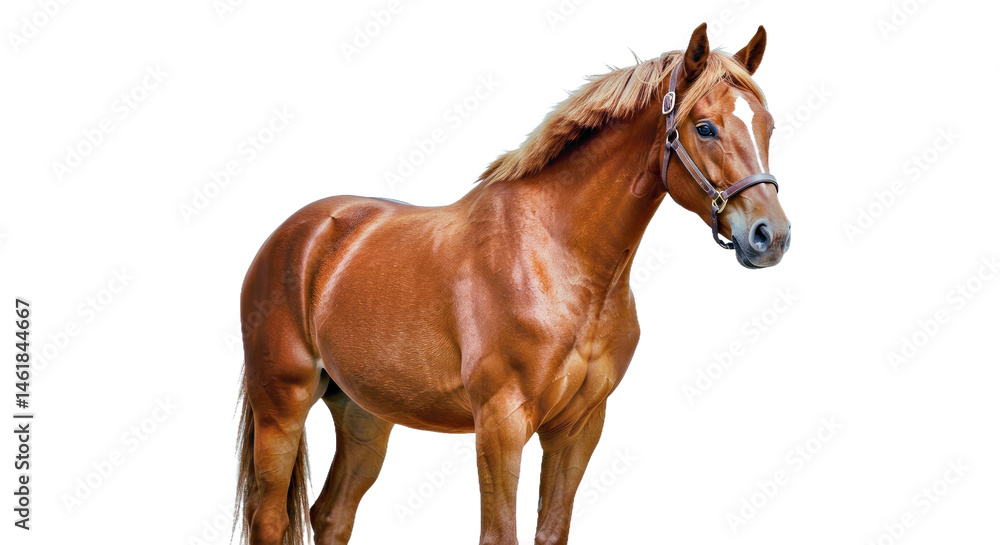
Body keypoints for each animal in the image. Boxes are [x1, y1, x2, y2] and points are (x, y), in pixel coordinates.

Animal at [235, 22, 790, 545]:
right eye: (705, 128)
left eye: (767, 125)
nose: (771, 236)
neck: (559, 260)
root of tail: (298, 234)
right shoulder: (501, 424)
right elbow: (500, 533)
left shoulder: (578, 427)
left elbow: (552, 529)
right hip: (282, 406)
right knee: (270, 518)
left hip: (364, 412)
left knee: (331, 515)